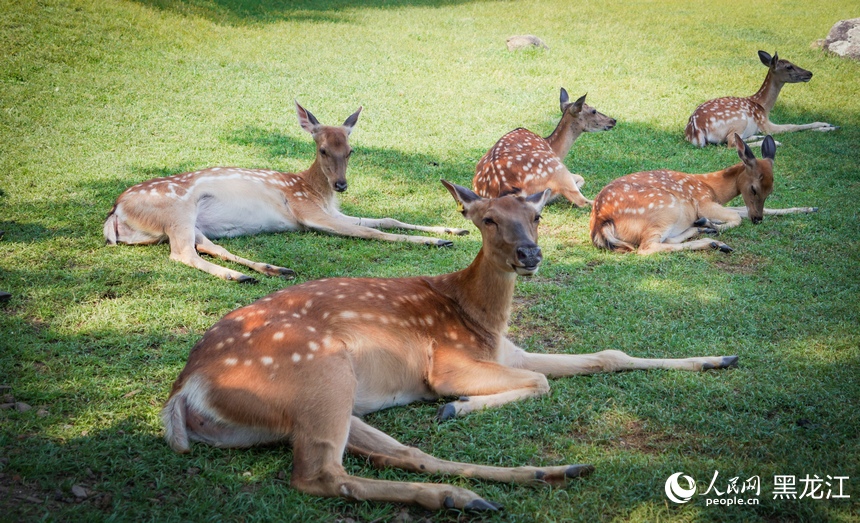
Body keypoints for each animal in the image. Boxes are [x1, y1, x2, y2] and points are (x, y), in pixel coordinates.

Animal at [103, 102, 468, 283]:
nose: (342, 185)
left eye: (351, 150)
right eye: (323, 149)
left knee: (207, 246)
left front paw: (453, 230)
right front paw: (434, 240)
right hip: (175, 209)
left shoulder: (332, 210)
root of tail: (115, 212)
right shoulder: (307, 211)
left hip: (189, 222)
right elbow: (372, 233)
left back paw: (272, 270)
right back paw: (238, 276)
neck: (314, 190)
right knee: (182, 253)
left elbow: (387, 219)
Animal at [161, 179, 740, 511]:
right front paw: (458, 406)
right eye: (487, 219)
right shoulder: (448, 364)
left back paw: (539, 476)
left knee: (400, 454)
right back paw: (462, 493)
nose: (530, 255)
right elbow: (542, 381)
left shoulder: (508, 351)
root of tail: (184, 392)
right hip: (320, 372)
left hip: (325, 402)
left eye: (537, 216)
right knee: (321, 476)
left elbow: (605, 356)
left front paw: (721, 357)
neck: (480, 318)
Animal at [472, 89, 616, 206]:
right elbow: (581, 178)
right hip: (557, 170)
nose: (613, 120)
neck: (551, 145)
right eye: (594, 111)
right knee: (583, 201)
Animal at [590, 134, 817, 255]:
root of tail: (601, 221)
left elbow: (744, 211)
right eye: (754, 188)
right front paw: (715, 225)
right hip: (667, 208)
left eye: (771, 190)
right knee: (648, 247)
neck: (712, 187)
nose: (757, 219)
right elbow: (736, 217)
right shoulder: (703, 202)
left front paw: (809, 208)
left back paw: (704, 230)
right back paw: (714, 240)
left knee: (666, 241)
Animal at [685, 50, 837, 148]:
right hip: (740, 120)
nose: (809, 73)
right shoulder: (765, 124)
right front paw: (827, 126)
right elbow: (792, 126)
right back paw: (775, 142)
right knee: (731, 143)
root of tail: (696, 132)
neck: (763, 106)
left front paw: (830, 125)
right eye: (789, 66)